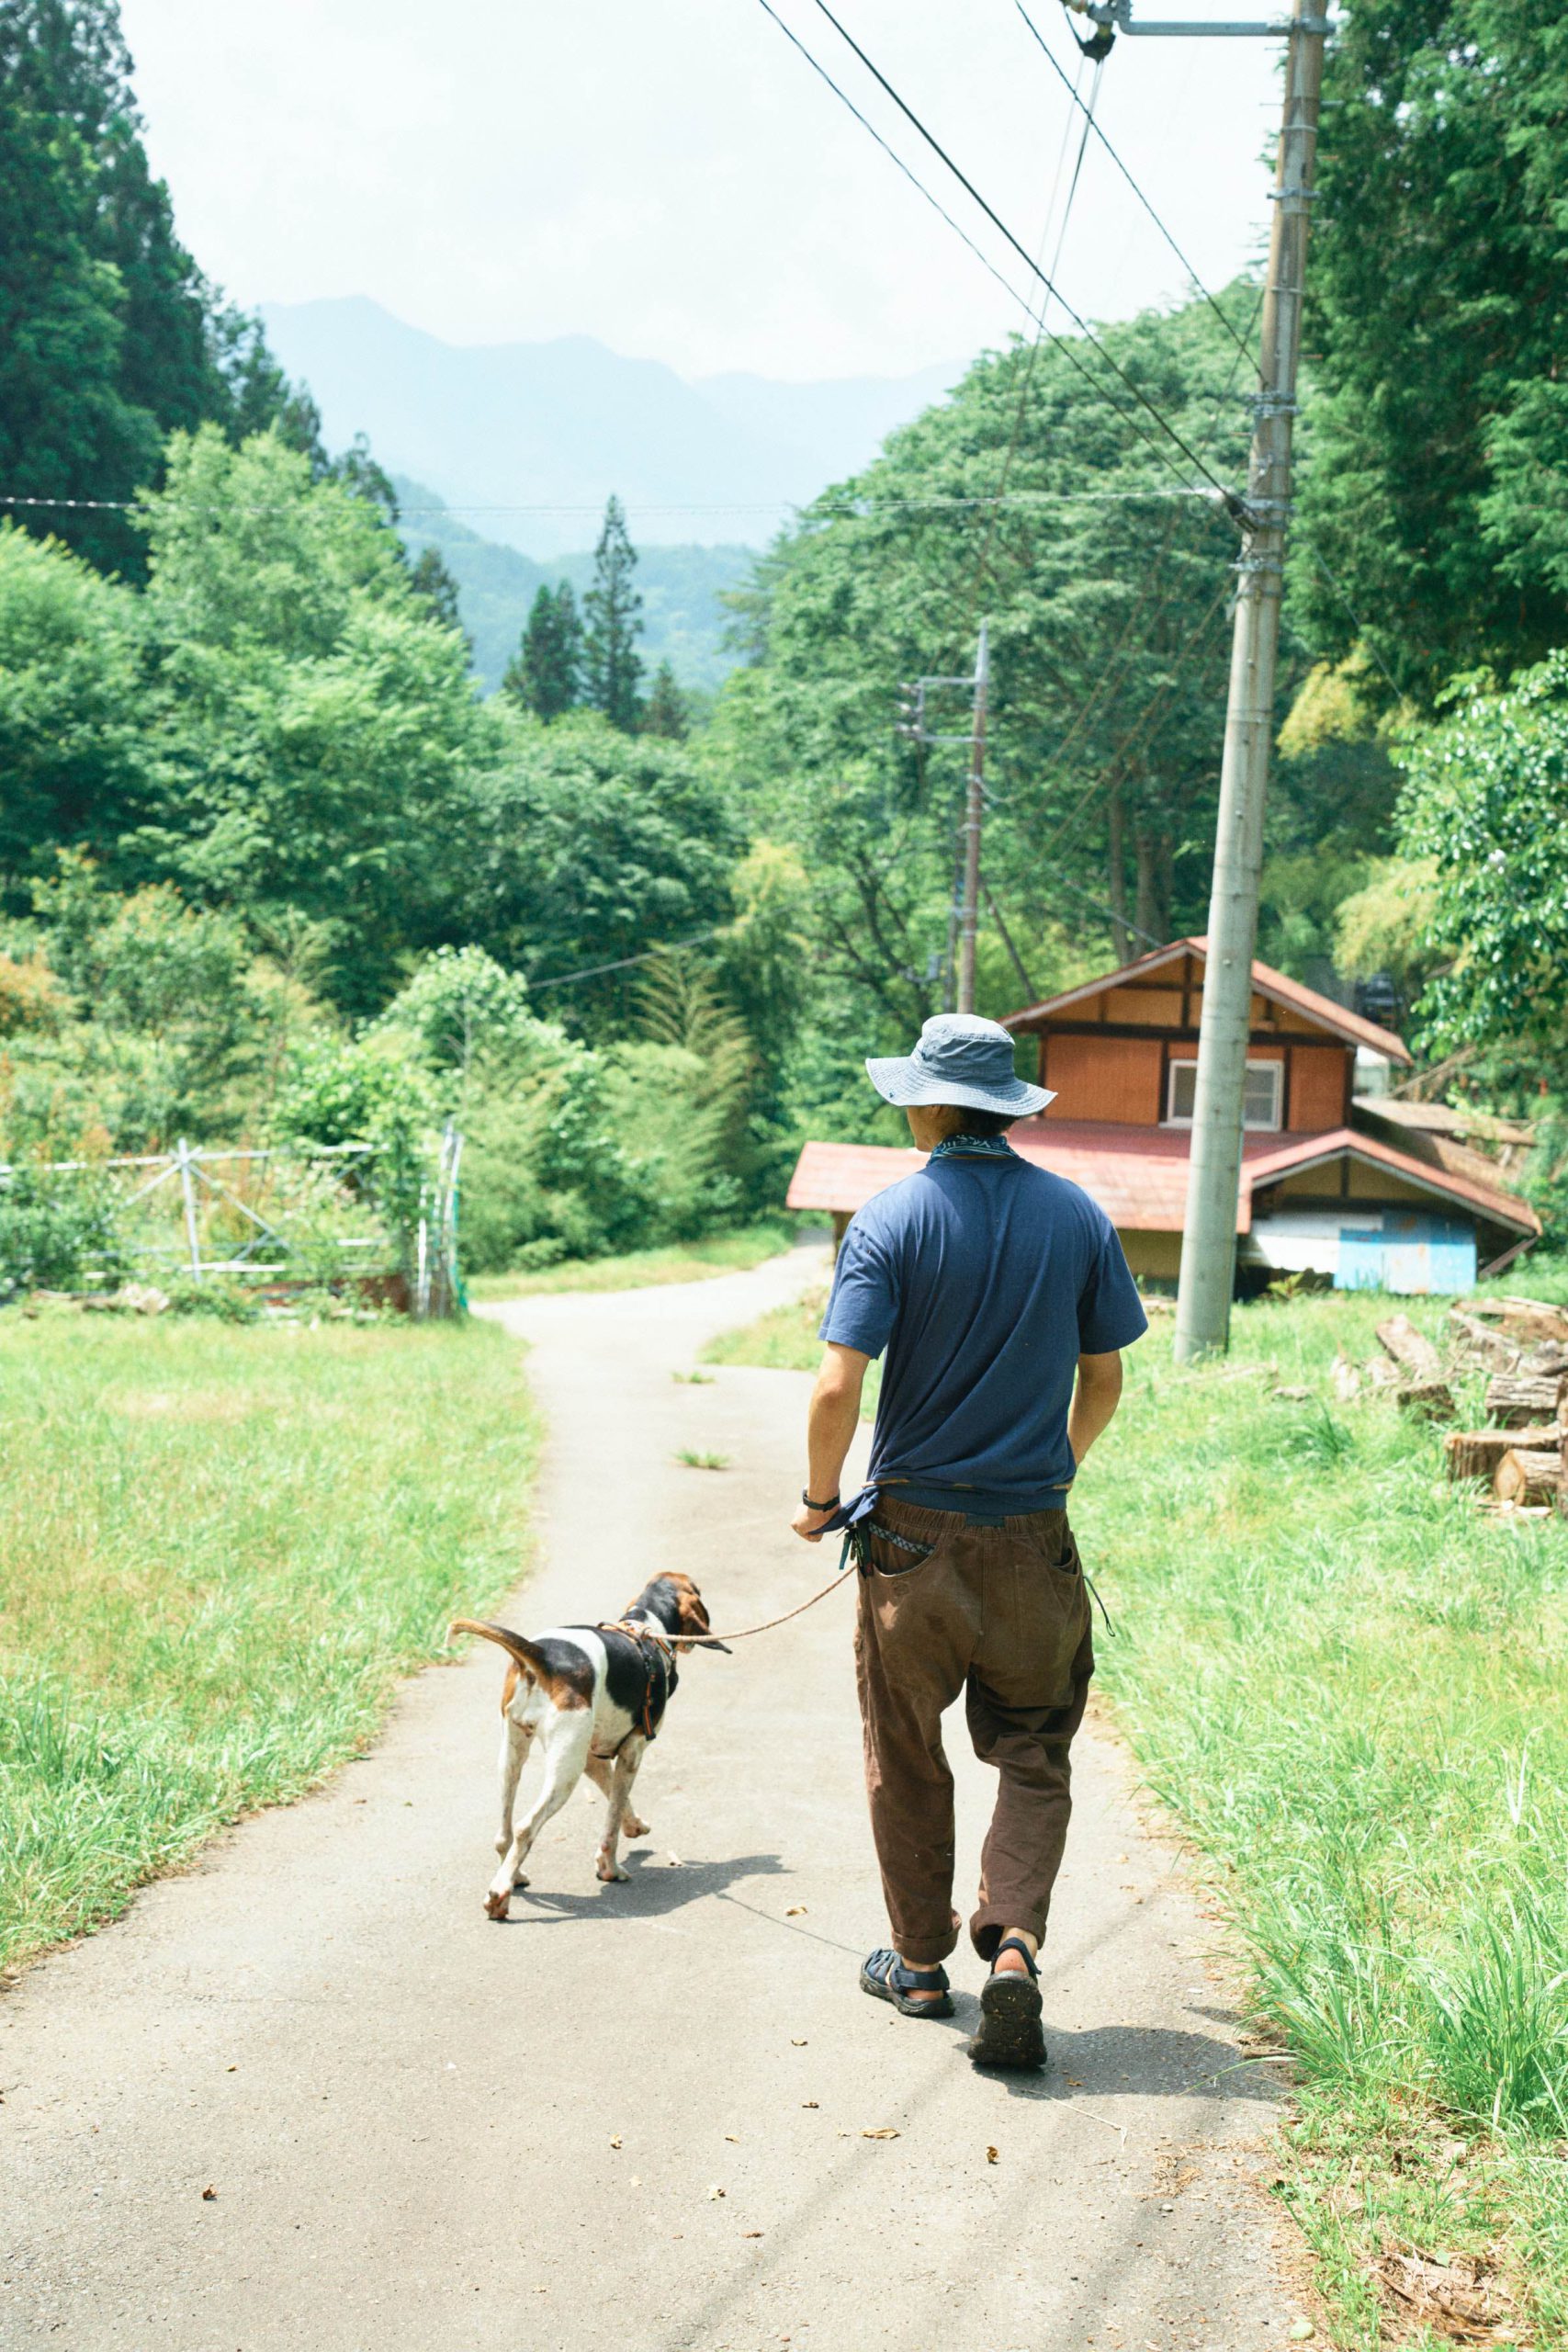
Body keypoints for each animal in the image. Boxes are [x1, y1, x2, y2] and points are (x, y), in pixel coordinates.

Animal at [451, 1571, 728, 1918]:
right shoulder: (632, 1751)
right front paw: (609, 1868)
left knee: (504, 1833)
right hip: (563, 1776)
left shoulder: (594, 1756)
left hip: (512, 1757)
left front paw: (634, 1826)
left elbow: (617, 1800)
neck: (646, 1625)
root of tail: (542, 1655)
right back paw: (499, 1894)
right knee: (526, 1827)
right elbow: (612, 1817)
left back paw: (514, 1875)